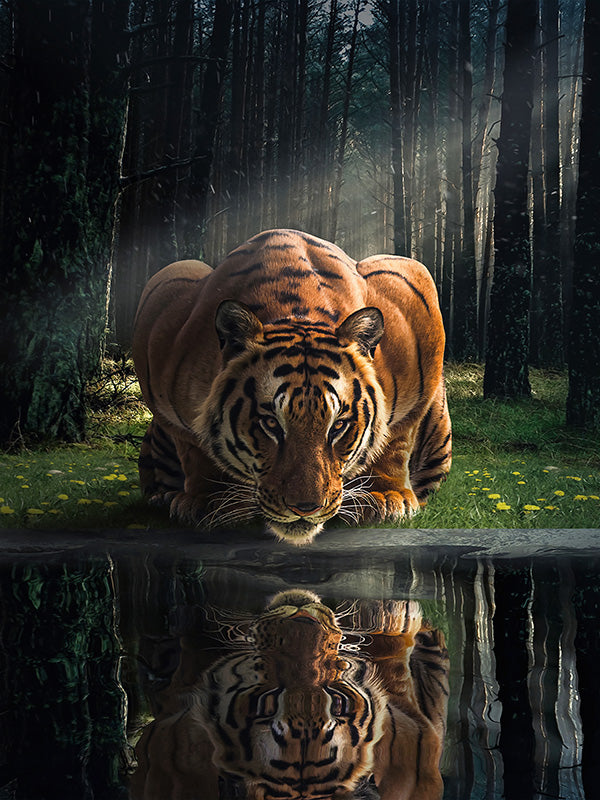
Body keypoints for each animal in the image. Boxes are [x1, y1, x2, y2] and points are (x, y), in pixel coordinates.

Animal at [132, 229, 451, 545]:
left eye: (338, 426)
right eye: (271, 424)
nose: (305, 508)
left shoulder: (413, 298)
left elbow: (396, 439)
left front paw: (384, 497)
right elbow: (193, 447)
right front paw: (211, 501)